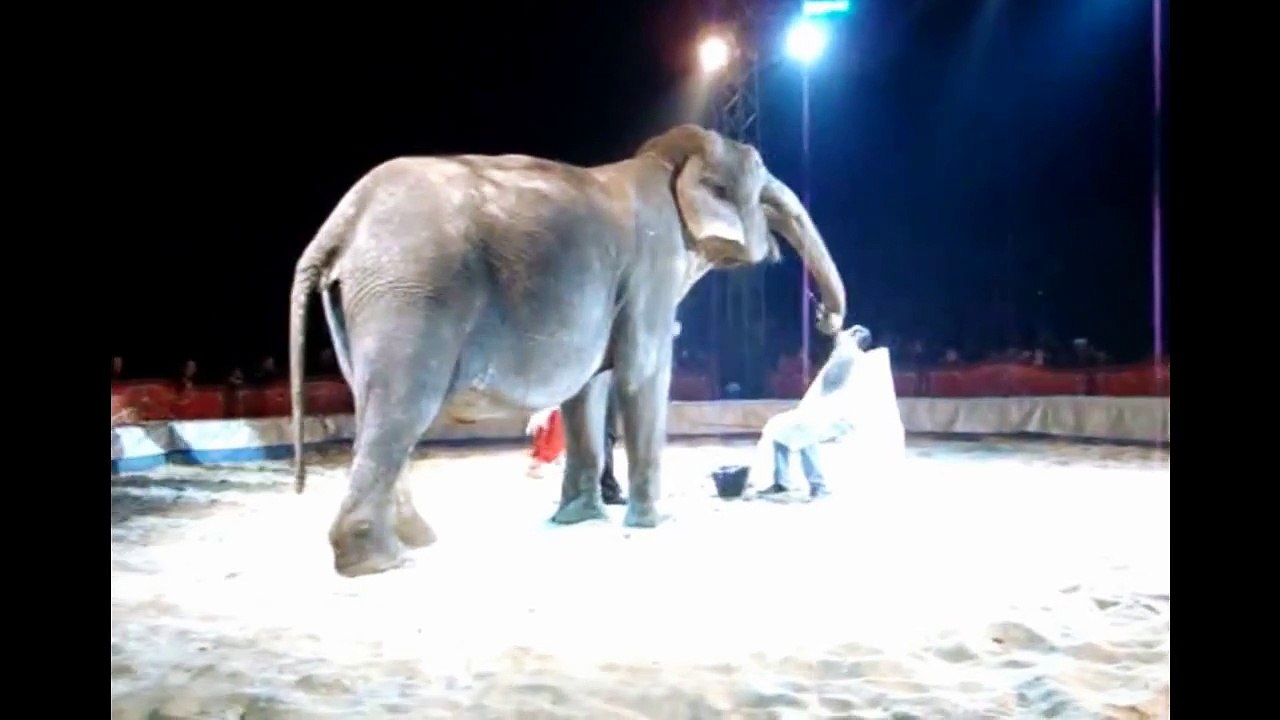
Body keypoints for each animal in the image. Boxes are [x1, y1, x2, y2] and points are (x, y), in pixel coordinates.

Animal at [288, 124, 848, 577]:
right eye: (761, 174)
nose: (827, 319)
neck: (668, 160)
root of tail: (341, 223)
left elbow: (589, 389)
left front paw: (578, 519)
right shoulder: (654, 263)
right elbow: (643, 374)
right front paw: (657, 522)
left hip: (367, 300)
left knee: (374, 409)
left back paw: (417, 540)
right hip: (412, 291)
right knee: (403, 409)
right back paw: (381, 562)